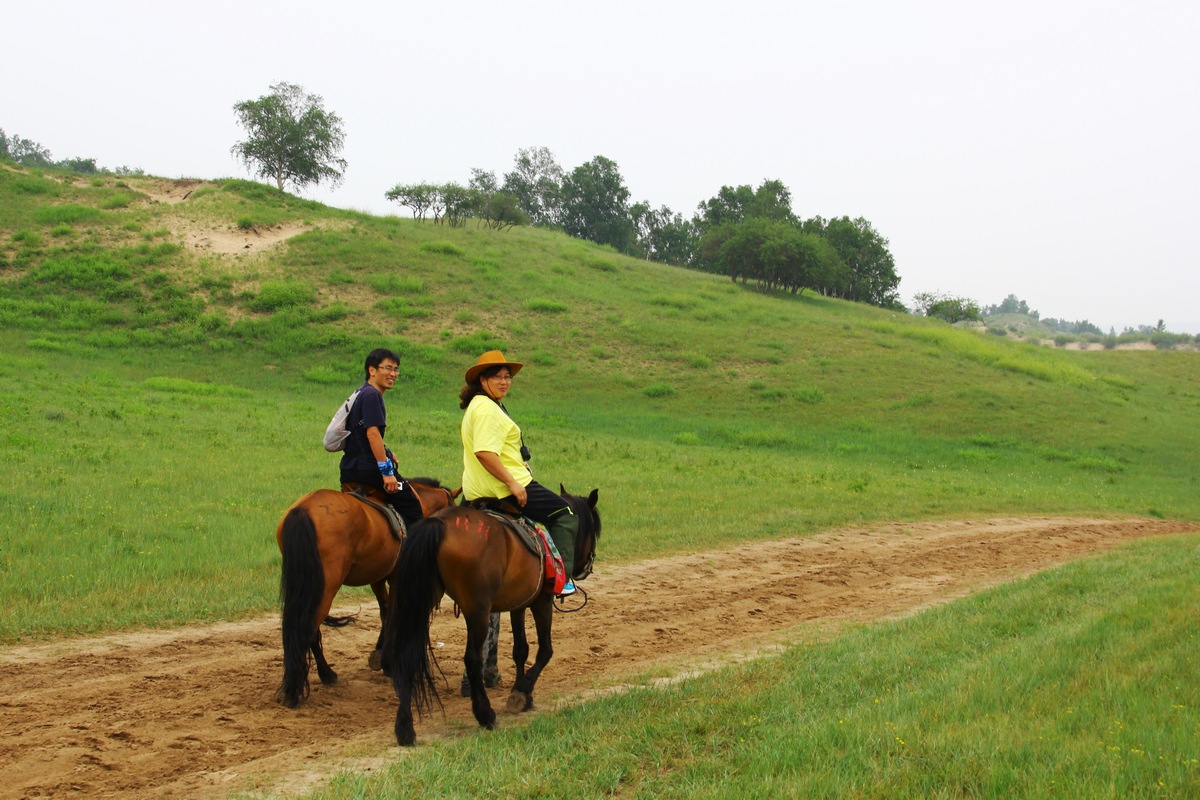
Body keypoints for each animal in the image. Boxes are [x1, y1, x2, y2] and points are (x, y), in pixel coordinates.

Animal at [274, 474, 456, 705]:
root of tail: (303, 510)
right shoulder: (396, 577)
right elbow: (393, 613)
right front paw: (387, 661)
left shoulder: (377, 578)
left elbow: (385, 612)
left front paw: (381, 654)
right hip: (325, 587)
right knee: (306, 628)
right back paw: (296, 690)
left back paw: (324, 675)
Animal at [384, 484, 600, 748]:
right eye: (594, 531)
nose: (587, 567)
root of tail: (439, 523)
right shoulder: (541, 602)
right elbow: (545, 651)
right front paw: (522, 691)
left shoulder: (519, 604)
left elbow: (520, 650)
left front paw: (524, 695)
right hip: (477, 612)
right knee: (472, 659)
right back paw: (485, 714)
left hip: (419, 602)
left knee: (406, 654)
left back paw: (405, 728)